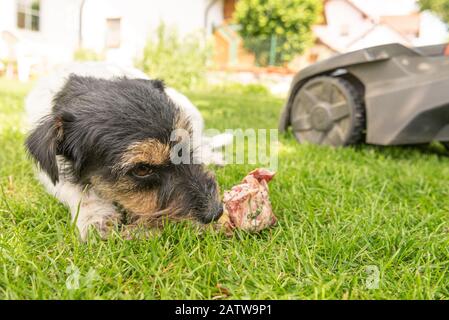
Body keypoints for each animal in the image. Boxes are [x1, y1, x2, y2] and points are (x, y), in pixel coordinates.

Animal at [24, 62, 224, 239]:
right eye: (142, 169)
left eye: (185, 145)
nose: (215, 212)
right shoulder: (52, 174)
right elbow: (75, 190)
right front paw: (96, 217)